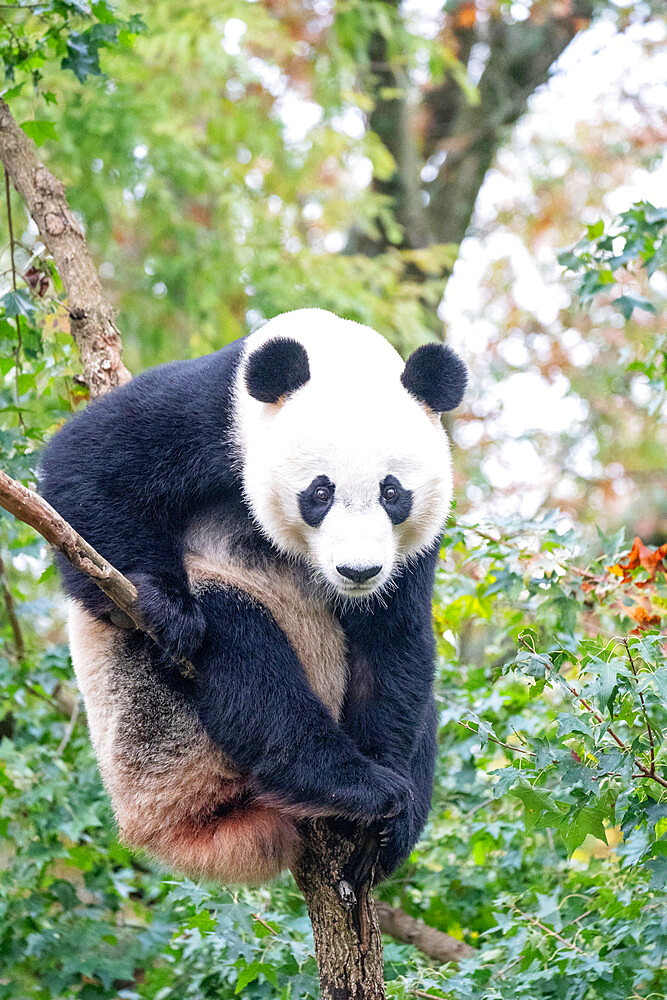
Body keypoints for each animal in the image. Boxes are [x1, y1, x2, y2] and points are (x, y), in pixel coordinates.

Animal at [41, 306, 468, 884]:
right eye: (320, 492)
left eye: (392, 492)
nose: (358, 570)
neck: (333, 350)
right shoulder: (212, 413)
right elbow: (86, 467)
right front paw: (168, 609)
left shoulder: (412, 546)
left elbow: (391, 644)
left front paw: (378, 834)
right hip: (153, 729)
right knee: (244, 656)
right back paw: (342, 781)